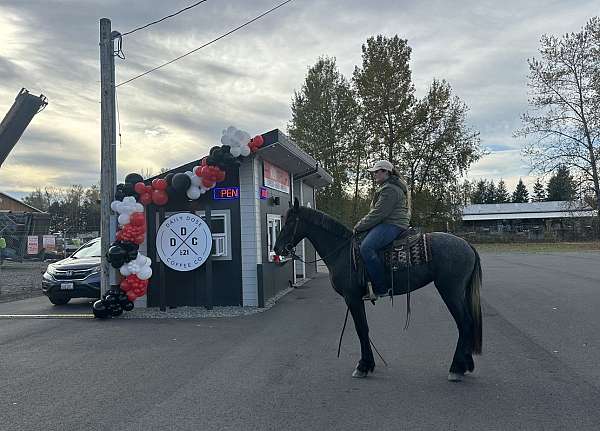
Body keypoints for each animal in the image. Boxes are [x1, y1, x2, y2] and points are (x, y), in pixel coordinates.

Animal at [274, 198, 482, 382]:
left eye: (290, 221)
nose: (278, 249)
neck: (342, 252)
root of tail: (467, 245)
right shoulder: (357, 299)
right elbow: (364, 329)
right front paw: (368, 364)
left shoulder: (352, 298)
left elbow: (361, 329)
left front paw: (363, 366)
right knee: (468, 323)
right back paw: (465, 364)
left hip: (450, 291)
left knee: (464, 323)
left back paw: (456, 368)